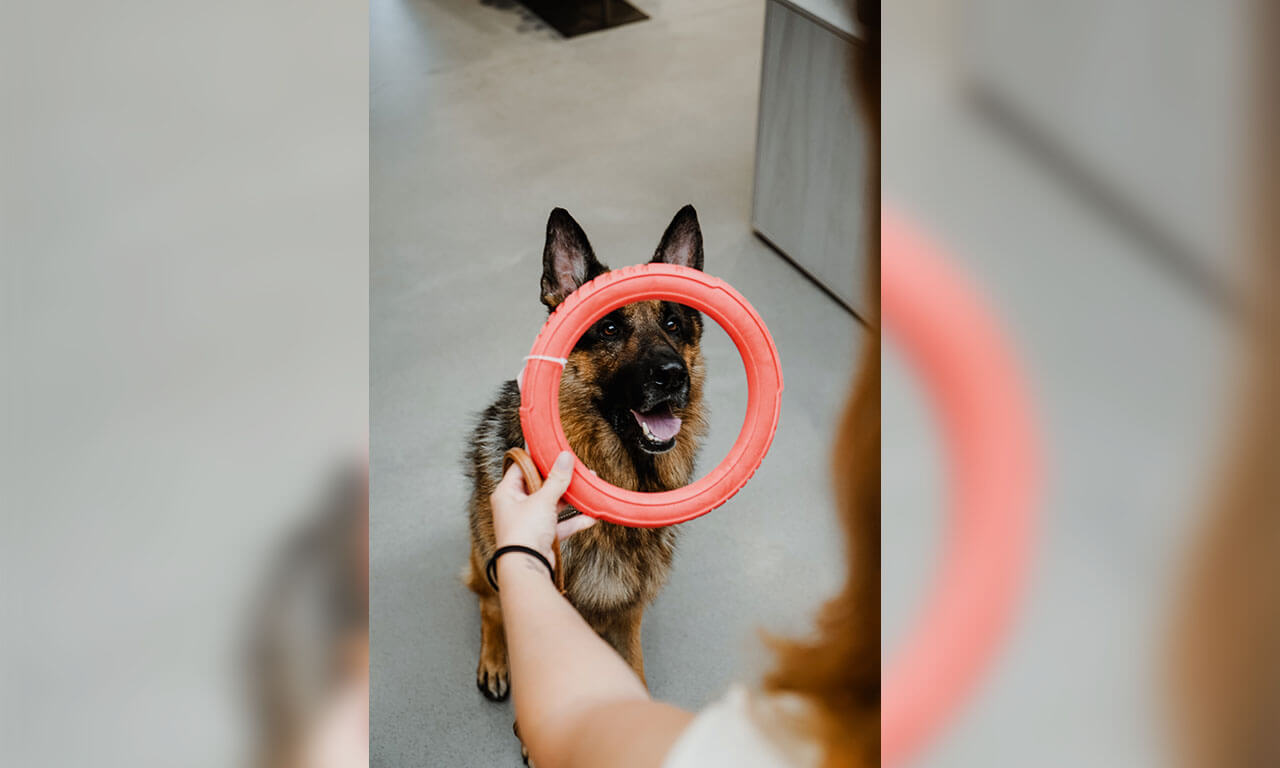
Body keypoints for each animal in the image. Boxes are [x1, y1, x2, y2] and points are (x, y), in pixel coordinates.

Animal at [465, 206, 711, 706]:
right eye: (610, 328)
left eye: (673, 324)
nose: (673, 375)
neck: (628, 477)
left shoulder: (628, 613)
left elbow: (634, 671)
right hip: (486, 550)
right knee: (490, 603)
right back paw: (495, 659)